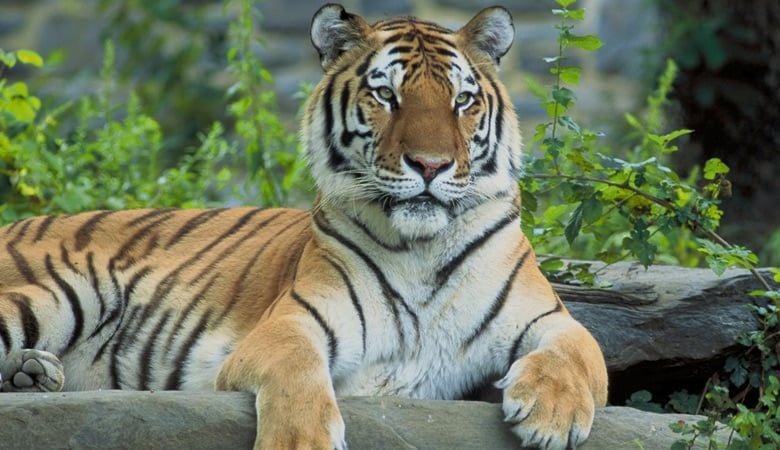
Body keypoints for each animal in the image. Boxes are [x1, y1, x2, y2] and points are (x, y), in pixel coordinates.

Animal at [0, 4, 608, 450]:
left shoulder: (548, 316)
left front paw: (552, 415)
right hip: (67, 291)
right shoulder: (291, 323)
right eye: (387, 94)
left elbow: (580, 350)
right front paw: (301, 443)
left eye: (462, 101)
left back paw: (31, 374)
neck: (422, 248)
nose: (431, 165)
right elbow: (298, 373)